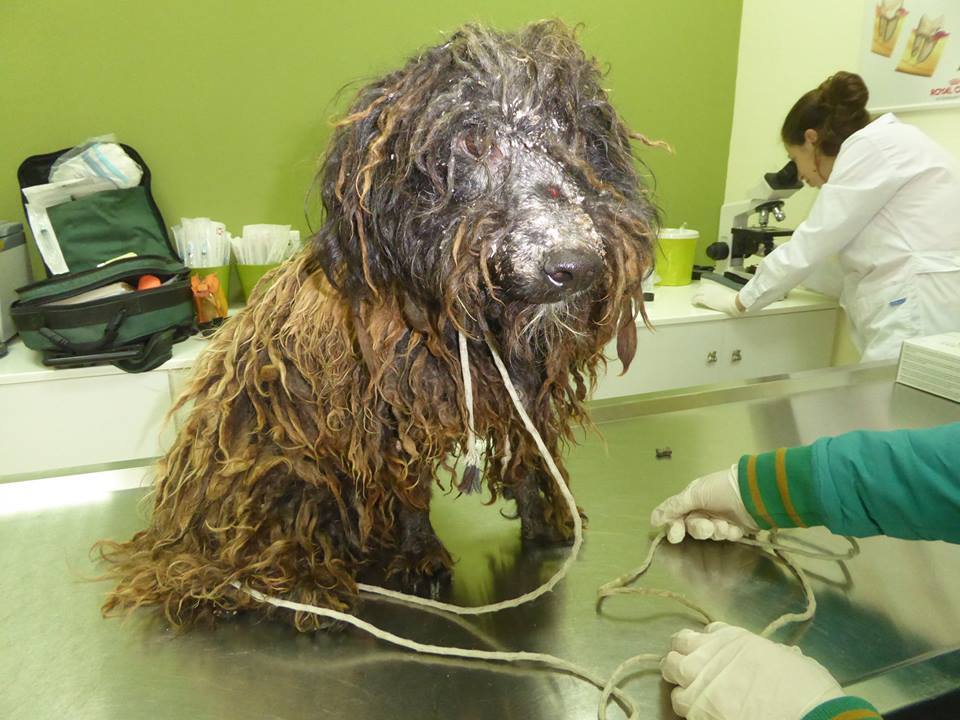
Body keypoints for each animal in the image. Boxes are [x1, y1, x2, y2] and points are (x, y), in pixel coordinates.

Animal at [98, 20, 657, 631]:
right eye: (473, 140)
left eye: (578, 135)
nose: (575, 265)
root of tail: (172, 535)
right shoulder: (387, 413)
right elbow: (409, 494)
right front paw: (418, 556)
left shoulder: (525, 391)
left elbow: (531, 459)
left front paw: (547, 521)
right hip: (286, 470)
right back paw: (303, 583)